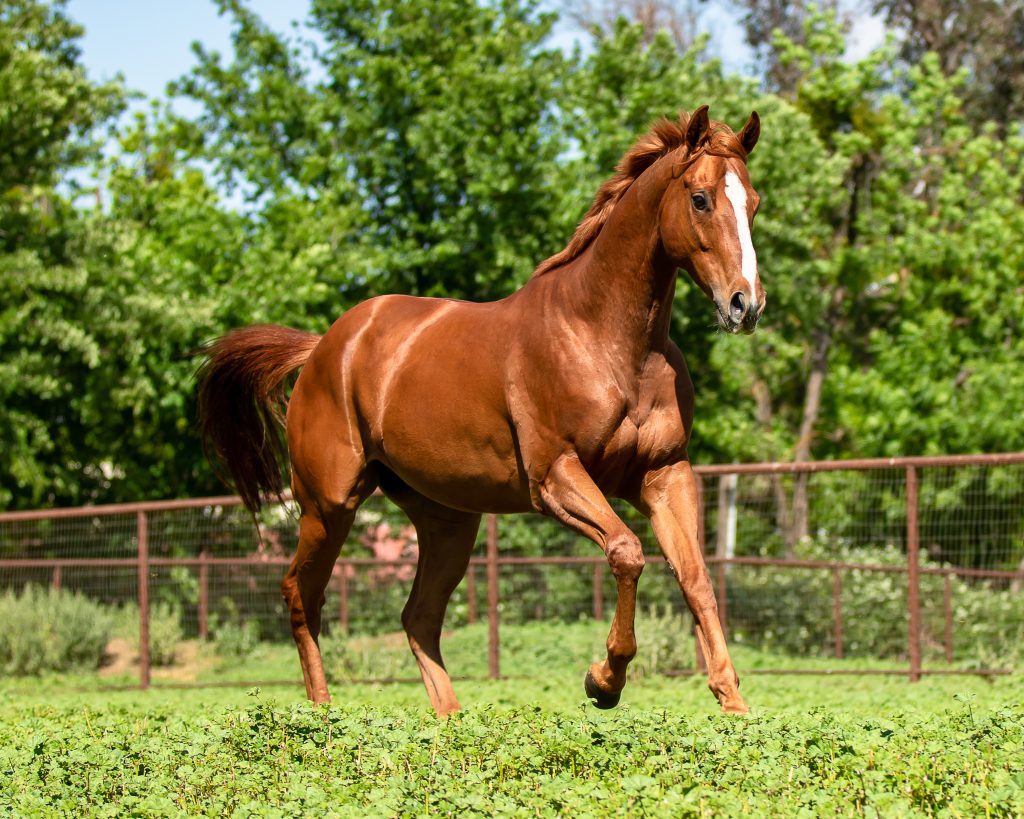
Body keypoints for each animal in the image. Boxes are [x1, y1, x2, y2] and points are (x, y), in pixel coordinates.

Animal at [195, 105, 765, 712]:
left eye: (753, 202)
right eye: (700, 198)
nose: (745, 304)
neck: (608, 340)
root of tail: (322, 347)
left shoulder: (664, 473)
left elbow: (696, 576)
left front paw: (733, 703)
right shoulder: (555, 476)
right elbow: (627, 551)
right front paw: (604, 680)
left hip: (447, 521)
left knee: (418, 617)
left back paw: (451, 721)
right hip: (329, 506)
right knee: (302, 595)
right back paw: (323, 715)